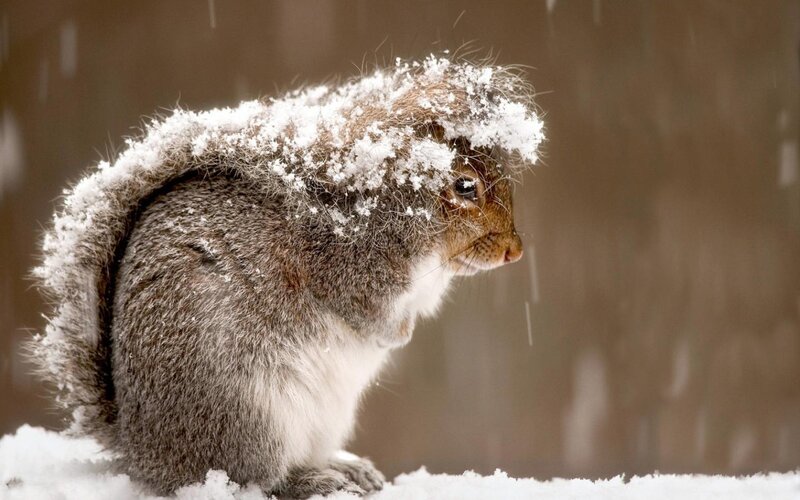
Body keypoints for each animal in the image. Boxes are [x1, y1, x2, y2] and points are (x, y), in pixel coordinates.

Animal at [30, 55, 544, 497]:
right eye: (465, 186)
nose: (515, 251)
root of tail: (143, 451)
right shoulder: (347, 270)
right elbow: (365, 313)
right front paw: (395, 335)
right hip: (249, 414)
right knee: (256, 478)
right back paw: (311, 480)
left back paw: (343, 467)